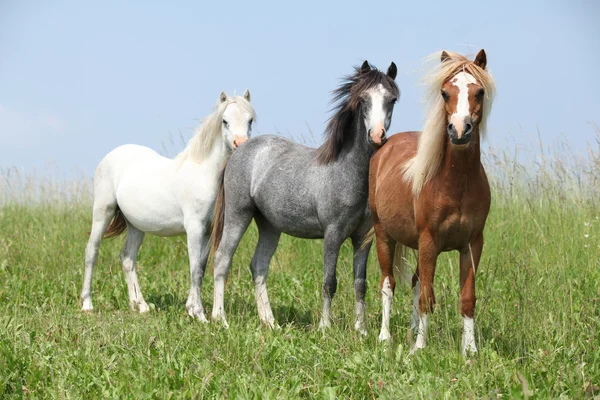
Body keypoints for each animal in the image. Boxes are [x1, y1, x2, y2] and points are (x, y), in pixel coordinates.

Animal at [80, 90, 255, 322]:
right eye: (224, 121)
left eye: (250, 120)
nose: (240, 143)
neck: (202, 173)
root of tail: (112, 155)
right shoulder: (194, 229)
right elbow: (194, 269)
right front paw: (199, 314)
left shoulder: (207, 231)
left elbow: (200, 267)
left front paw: (191, 308)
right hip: (103, 212)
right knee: (92, 251)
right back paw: (87, 304)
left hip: (135, 225)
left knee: (127, 259)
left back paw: (140, 305)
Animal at [211, 61, 398, 332]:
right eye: (363, 99)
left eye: (392, 99)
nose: (377, 136)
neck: (346, 172)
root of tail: (240, 150)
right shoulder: (333, 235)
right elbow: (329, 282)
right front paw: (324, 327)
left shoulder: (363, 238)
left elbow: (360, 284)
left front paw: (361, 330)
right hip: (238, 215)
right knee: (222, 259)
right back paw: (220, 319)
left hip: (269, 226)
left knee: (259, 266)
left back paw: (270, 322)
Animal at [370, 49, 496, 354]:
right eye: (444, 92)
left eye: (479, 92)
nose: (459, 131)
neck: (457, 183)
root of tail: (385, 147)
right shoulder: (430, 241)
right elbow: (427, 296)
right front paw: (419, 349)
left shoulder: (472, 244)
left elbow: (466, 298)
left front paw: (470, 351)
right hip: (384, 234)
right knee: (388, 283)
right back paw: (385, 338)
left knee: (415, 283)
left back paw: (411, 332)